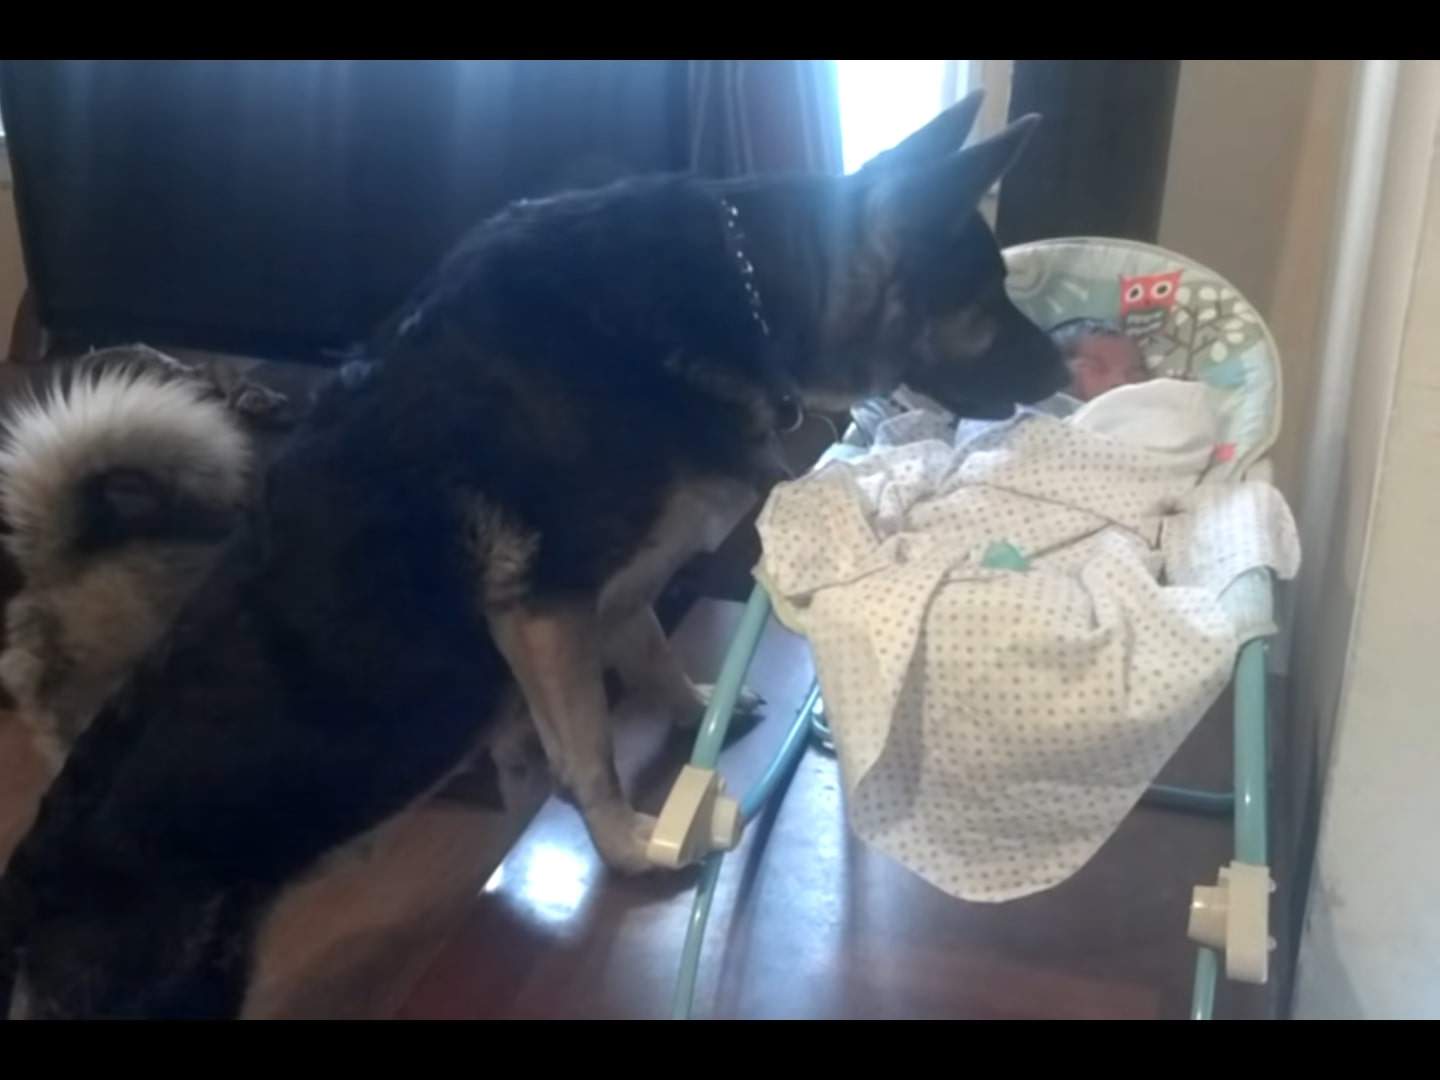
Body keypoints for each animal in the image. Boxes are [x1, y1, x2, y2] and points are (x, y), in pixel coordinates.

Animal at [0, 95, 1059, 1025]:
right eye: (989, 297)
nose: (1063, 367)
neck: (749, 288)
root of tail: (27, 899)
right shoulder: (545, 607)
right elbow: (587, 748)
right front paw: (633, 845)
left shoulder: (615, 581)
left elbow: (647, 647)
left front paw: (693, 711)